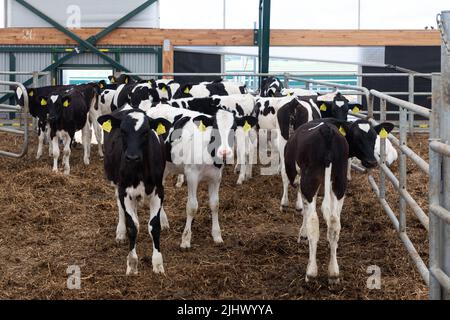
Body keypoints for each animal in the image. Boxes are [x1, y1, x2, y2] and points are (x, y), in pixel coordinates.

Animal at [97, 109, 170, 274]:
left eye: (146, 132)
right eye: (123, 131)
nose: (132, 157)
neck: (139, 172)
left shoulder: (158, 190)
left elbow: (154, 226)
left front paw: (158, 264)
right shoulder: (124, 190)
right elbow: (132, 226)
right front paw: (132, 263)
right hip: (116, 182)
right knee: (121, 208)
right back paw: (120, 232)